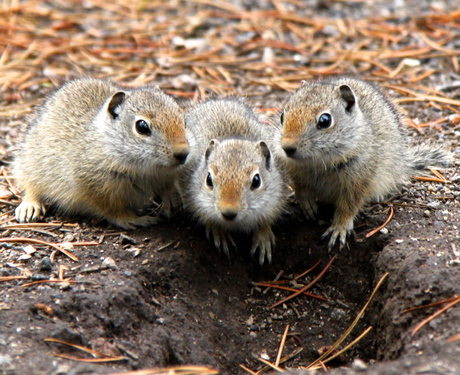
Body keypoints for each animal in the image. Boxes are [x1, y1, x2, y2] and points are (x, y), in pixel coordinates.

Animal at [14, 78, 190, 229]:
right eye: (142, 126)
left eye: (183, 120)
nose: (183, 153)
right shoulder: (94, 187)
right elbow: (111, 209)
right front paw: (134, 219)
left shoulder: (165, 176)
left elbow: (167, 186)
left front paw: (172, 199)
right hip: (32, 164)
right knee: (30, 186)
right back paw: (29, 206)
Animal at [180, 98, 288, 266]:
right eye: (208, 179)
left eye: (256, 181)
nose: (228, 212)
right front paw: (218, 231)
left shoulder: (276, 199)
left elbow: (266, 220)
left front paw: (263, 236)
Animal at [274, 76, 452, 250]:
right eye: (282, 116)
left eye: (325, 120)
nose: (287, 147)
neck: (317, 161)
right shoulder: (294, 170)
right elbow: (300, 187)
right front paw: (306, 202)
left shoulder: (359, 180)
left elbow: (349, 205)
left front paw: (339, 227)